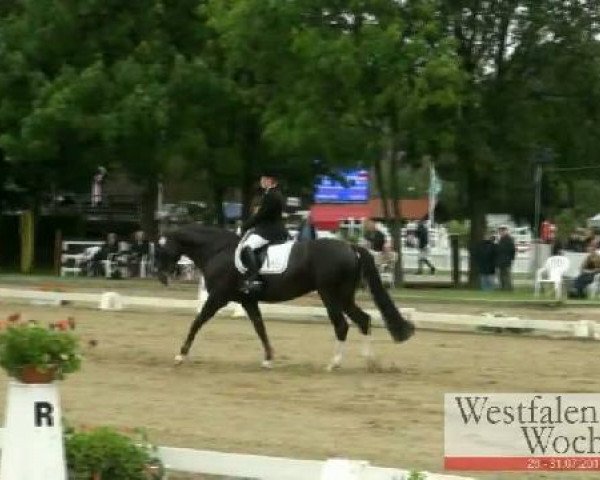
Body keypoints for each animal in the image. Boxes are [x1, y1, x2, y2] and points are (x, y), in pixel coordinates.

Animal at [157, 224, 414, 368]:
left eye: (160, 249)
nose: (161, 277)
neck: (218, 251)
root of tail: (351, 247)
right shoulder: (248, 301)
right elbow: (260, 327)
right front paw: (269, 358)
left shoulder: (218, 297)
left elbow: (197, 321)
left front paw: (181, 355)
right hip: (343, 295)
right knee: (363, 320)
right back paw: (370, 361)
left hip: (330, 294)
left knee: (342, 324)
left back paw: (334, 364)